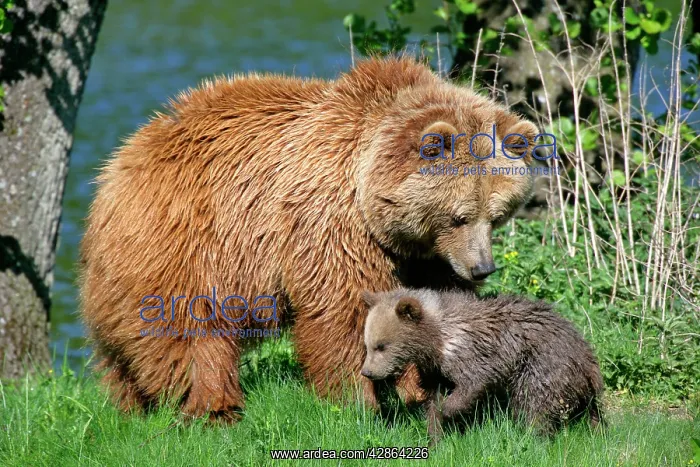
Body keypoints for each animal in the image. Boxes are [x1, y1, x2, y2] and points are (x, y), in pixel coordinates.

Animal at [79, 56, 541, 420]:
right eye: (459, 216)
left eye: (497, 215)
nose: (481, 268)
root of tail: (120, 161)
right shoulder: (331, 221)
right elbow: (344, 309)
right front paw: (358, 399)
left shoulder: (421, 255)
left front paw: (423, 387)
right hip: (184, 244)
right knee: (188, 331)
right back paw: (210, 408)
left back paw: (131, 405)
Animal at [361, 288, 604, 444]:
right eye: (368, 344)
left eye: (381, 345)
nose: (367, 372)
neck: (435, 339)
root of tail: (588, 357)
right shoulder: (434, 370)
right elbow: (432, 398)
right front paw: (436, 436)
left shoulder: (470, 353)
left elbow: (473, 382)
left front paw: (448, 411)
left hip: (544, 362)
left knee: (533, 401)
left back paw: (534, 437)